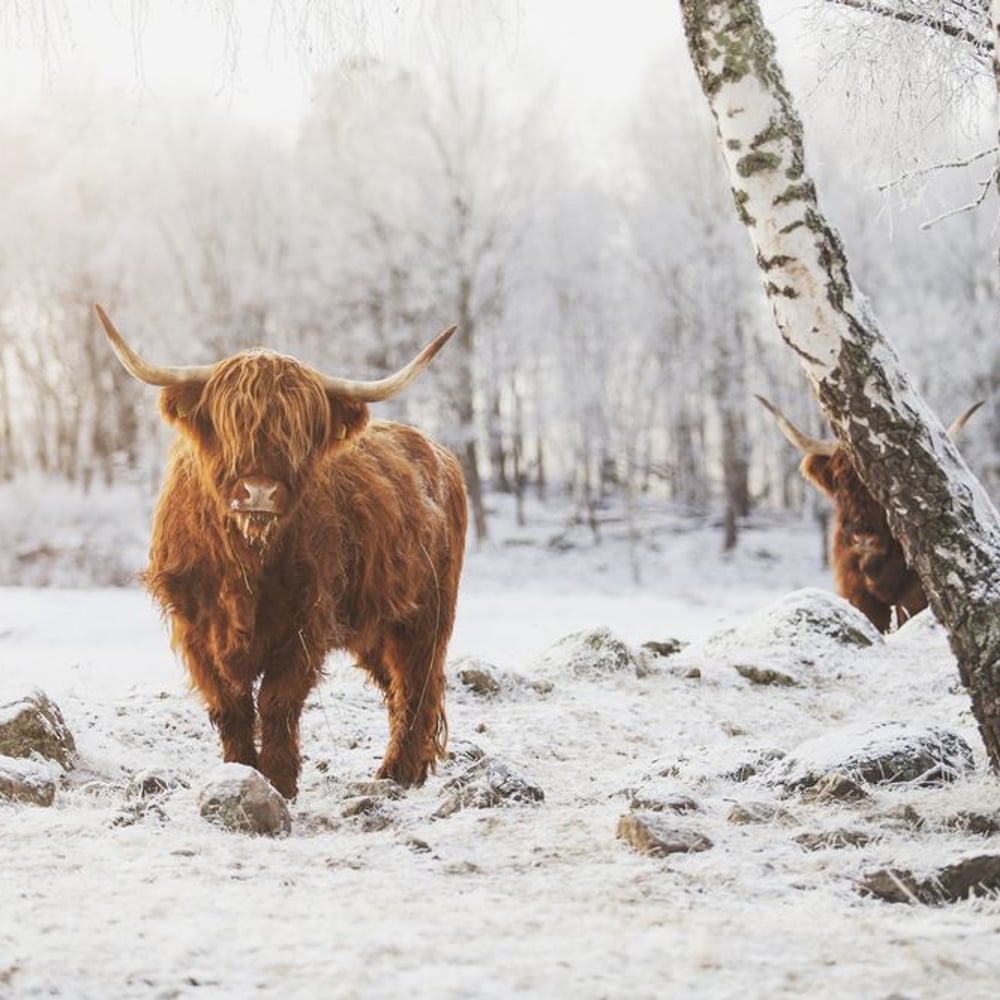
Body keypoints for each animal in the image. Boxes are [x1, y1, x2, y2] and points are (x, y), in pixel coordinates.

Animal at [96, 304, 467, 799]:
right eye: (229, 422)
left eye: (298, 430)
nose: (259, 491)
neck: (246, 560)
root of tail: (437, 452)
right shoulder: (194, 626)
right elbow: (230, 705)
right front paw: (239, 771)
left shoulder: (306, 621)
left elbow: (277, 701)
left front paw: (279, 779)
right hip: (373, 625)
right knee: (395, 685)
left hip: (427, 612)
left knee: (417, 682)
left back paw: (400, 770)